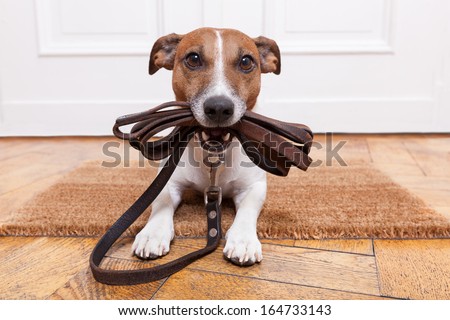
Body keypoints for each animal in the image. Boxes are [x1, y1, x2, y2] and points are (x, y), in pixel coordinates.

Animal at [131, 27, 282, 266]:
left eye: (246, 61)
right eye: (193, 59)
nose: (219, 108)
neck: (213, 156)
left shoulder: (254, 187)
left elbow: (248, 210)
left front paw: (243, 239)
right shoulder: (168, 182)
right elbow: (161, 202)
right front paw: (152, 232)